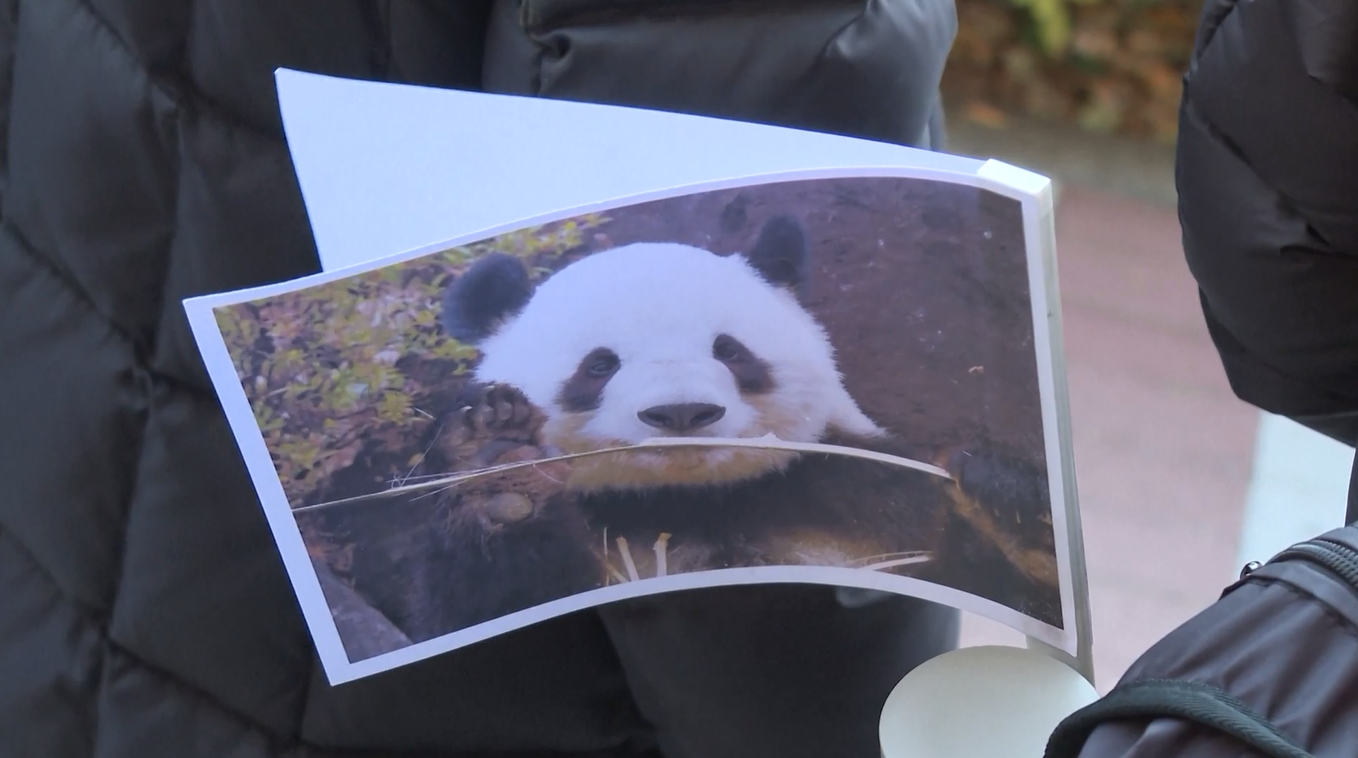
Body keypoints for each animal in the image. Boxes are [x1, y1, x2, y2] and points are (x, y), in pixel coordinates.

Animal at [322, 214, 1062, 651]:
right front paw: (503, 475)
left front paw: (1010, 502)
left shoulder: (860, 492)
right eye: (599, 365)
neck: (692, 500)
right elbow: (479, 618)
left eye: (729, 350)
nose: (681, 414)